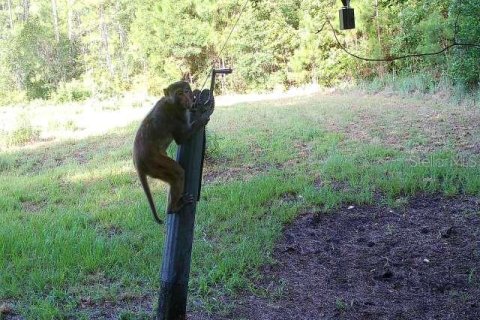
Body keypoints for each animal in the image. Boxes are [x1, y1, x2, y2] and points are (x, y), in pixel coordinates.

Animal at [132, 81, 213, 224]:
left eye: (186, 91)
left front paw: (196, 101)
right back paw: (173, 208)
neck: (174, 104)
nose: (187, 98)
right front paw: (203, 116)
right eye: (179, 93)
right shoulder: (175, 116)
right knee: (178, 173)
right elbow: (181, 138)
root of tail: (137, 162)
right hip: (153, 163)